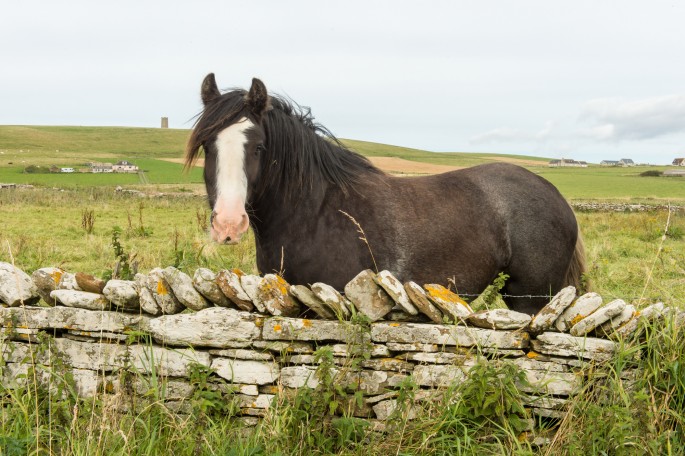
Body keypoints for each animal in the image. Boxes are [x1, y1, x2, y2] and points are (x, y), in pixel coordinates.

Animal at [184, 75, 584, 318]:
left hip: (532, 297)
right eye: (207, 146)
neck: (315, 214)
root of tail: (554, 193)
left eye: (259, 147)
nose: (228, 224)